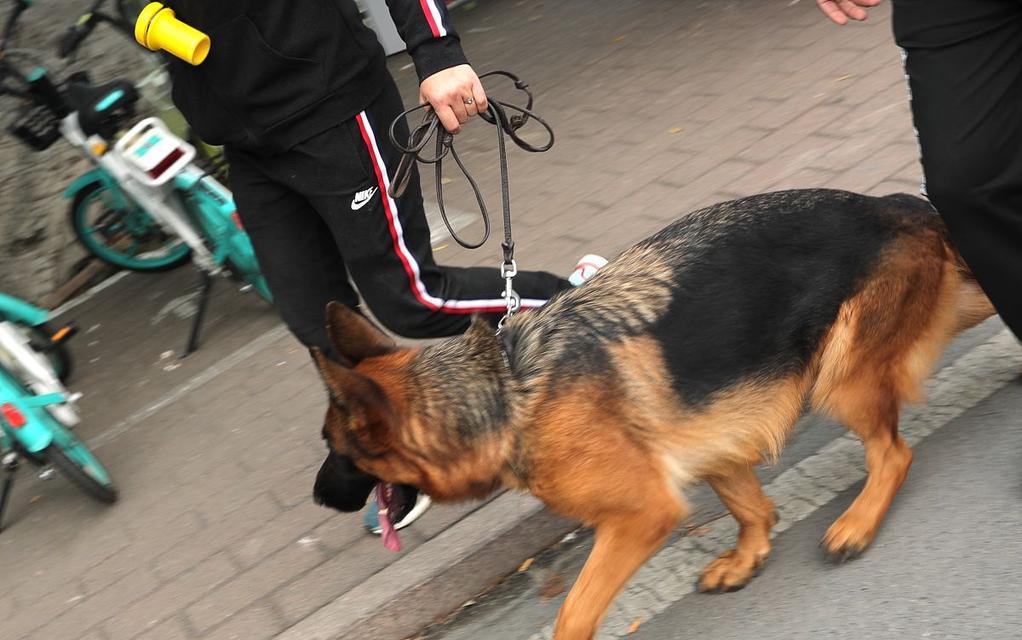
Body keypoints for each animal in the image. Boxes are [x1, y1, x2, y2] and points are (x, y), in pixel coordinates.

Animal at [308, 187, 989, 633]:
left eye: (336, 451)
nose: (317, 496)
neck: (506, 390)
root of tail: (901, 205)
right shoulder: (714, 443)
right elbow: (751, 507)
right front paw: (748, 554)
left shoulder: (641, 516)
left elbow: (574, 609)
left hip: (838, 381)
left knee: (894, 454)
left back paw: (858, 522)